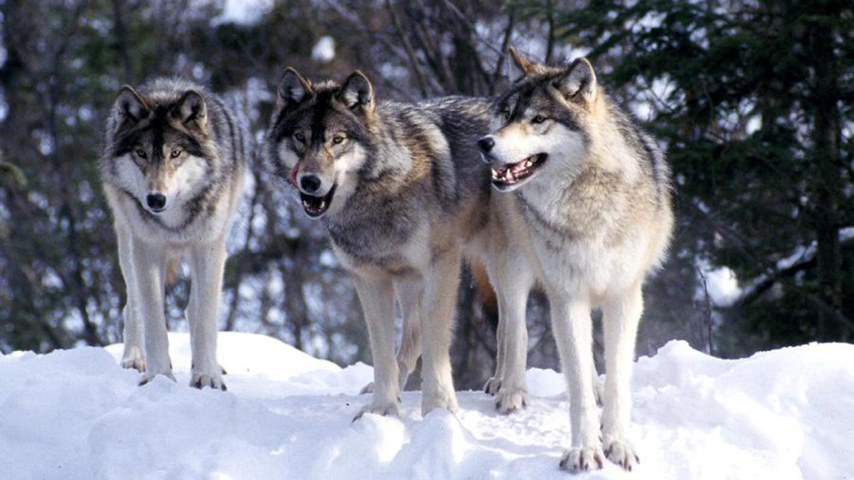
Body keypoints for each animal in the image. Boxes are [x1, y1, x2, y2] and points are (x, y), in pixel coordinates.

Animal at [100, 78, 248, 390]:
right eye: (141, 153)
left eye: (175, 153)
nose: (156, 199)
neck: (173, 222)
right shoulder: (146, 251)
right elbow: (154, 320)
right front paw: (159, 377)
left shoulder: (210, 249)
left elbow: (205, 320)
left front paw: (207, 377)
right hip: (127, 245)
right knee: (132, 306)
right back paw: (134, 359)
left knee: (194, 310)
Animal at [264, 67, 498, 418]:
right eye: (300, 138)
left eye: (338, 140)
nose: (310, 182)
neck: (379, 195)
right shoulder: (370, 278)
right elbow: (383, 352)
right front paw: (383, 409)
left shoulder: (441, 266)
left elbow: (435, 341)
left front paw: (439, 408)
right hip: (408, 282)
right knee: (411, 337)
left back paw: (504, 387)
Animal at [477, 49, 674, 472]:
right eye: (508, 115)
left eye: (538, 120)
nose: (484, 143)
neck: (585, 203)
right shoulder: (566, 297)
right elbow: (577, 386)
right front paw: (584, 450)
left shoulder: (623, 297)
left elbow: (615, 378)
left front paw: (617, 442)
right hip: (514, 269)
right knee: (512, 329)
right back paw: (510, 389)